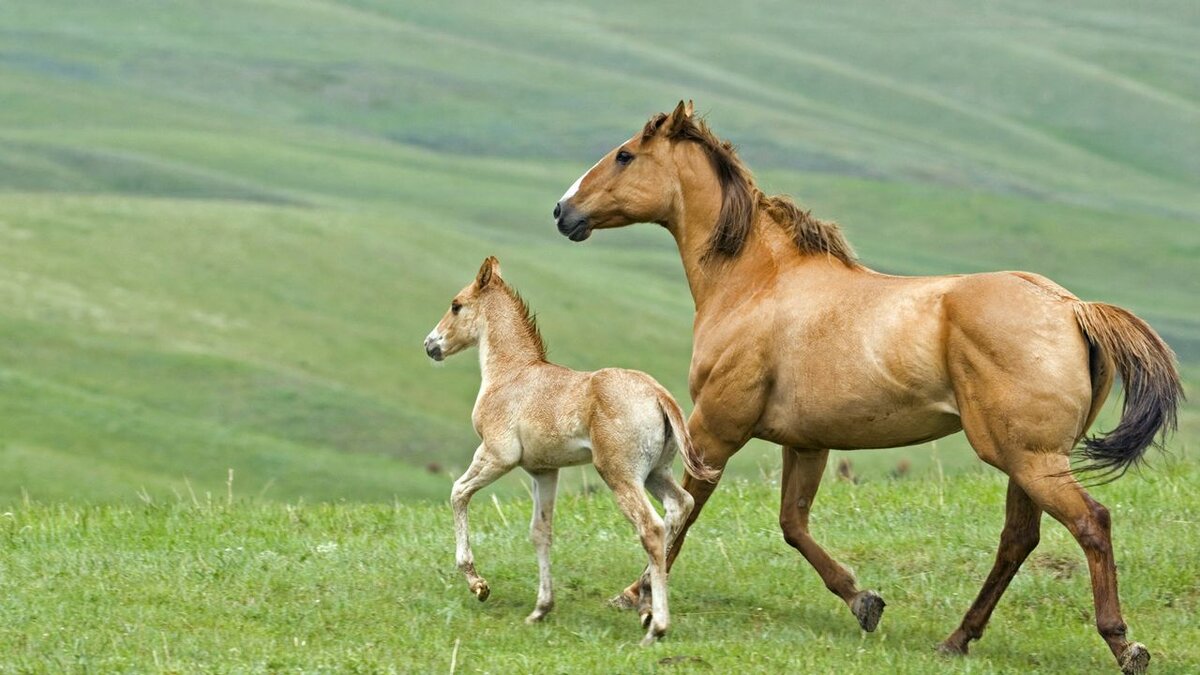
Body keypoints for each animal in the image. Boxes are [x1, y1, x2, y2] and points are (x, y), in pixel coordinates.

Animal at [427, 255, 715, 638]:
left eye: (456, 305)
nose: (431, 345)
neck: (512, 374)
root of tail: (659, 395)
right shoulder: (544, 471)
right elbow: (540, 532)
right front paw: (540, 610)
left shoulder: (497, 455)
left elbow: (458, 493)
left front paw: (478, 584)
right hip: (656, 473)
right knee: (680, 506)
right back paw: (643, 601)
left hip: (619, 475)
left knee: (651, 528)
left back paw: (656, 625)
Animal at [549, 100, 1180, 672]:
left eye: (625, 155)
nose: (562, 211)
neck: (754, 283)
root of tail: (1072, 308)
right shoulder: (806, 443)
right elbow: (793, 525)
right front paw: (864, 602)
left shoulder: (715, 429)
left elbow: (684, 512)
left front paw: (635, 596)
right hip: (1026, 458)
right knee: (1018, 539)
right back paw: (957, 640)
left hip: (1029, 458)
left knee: (1090, 523)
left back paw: (1124, 644)